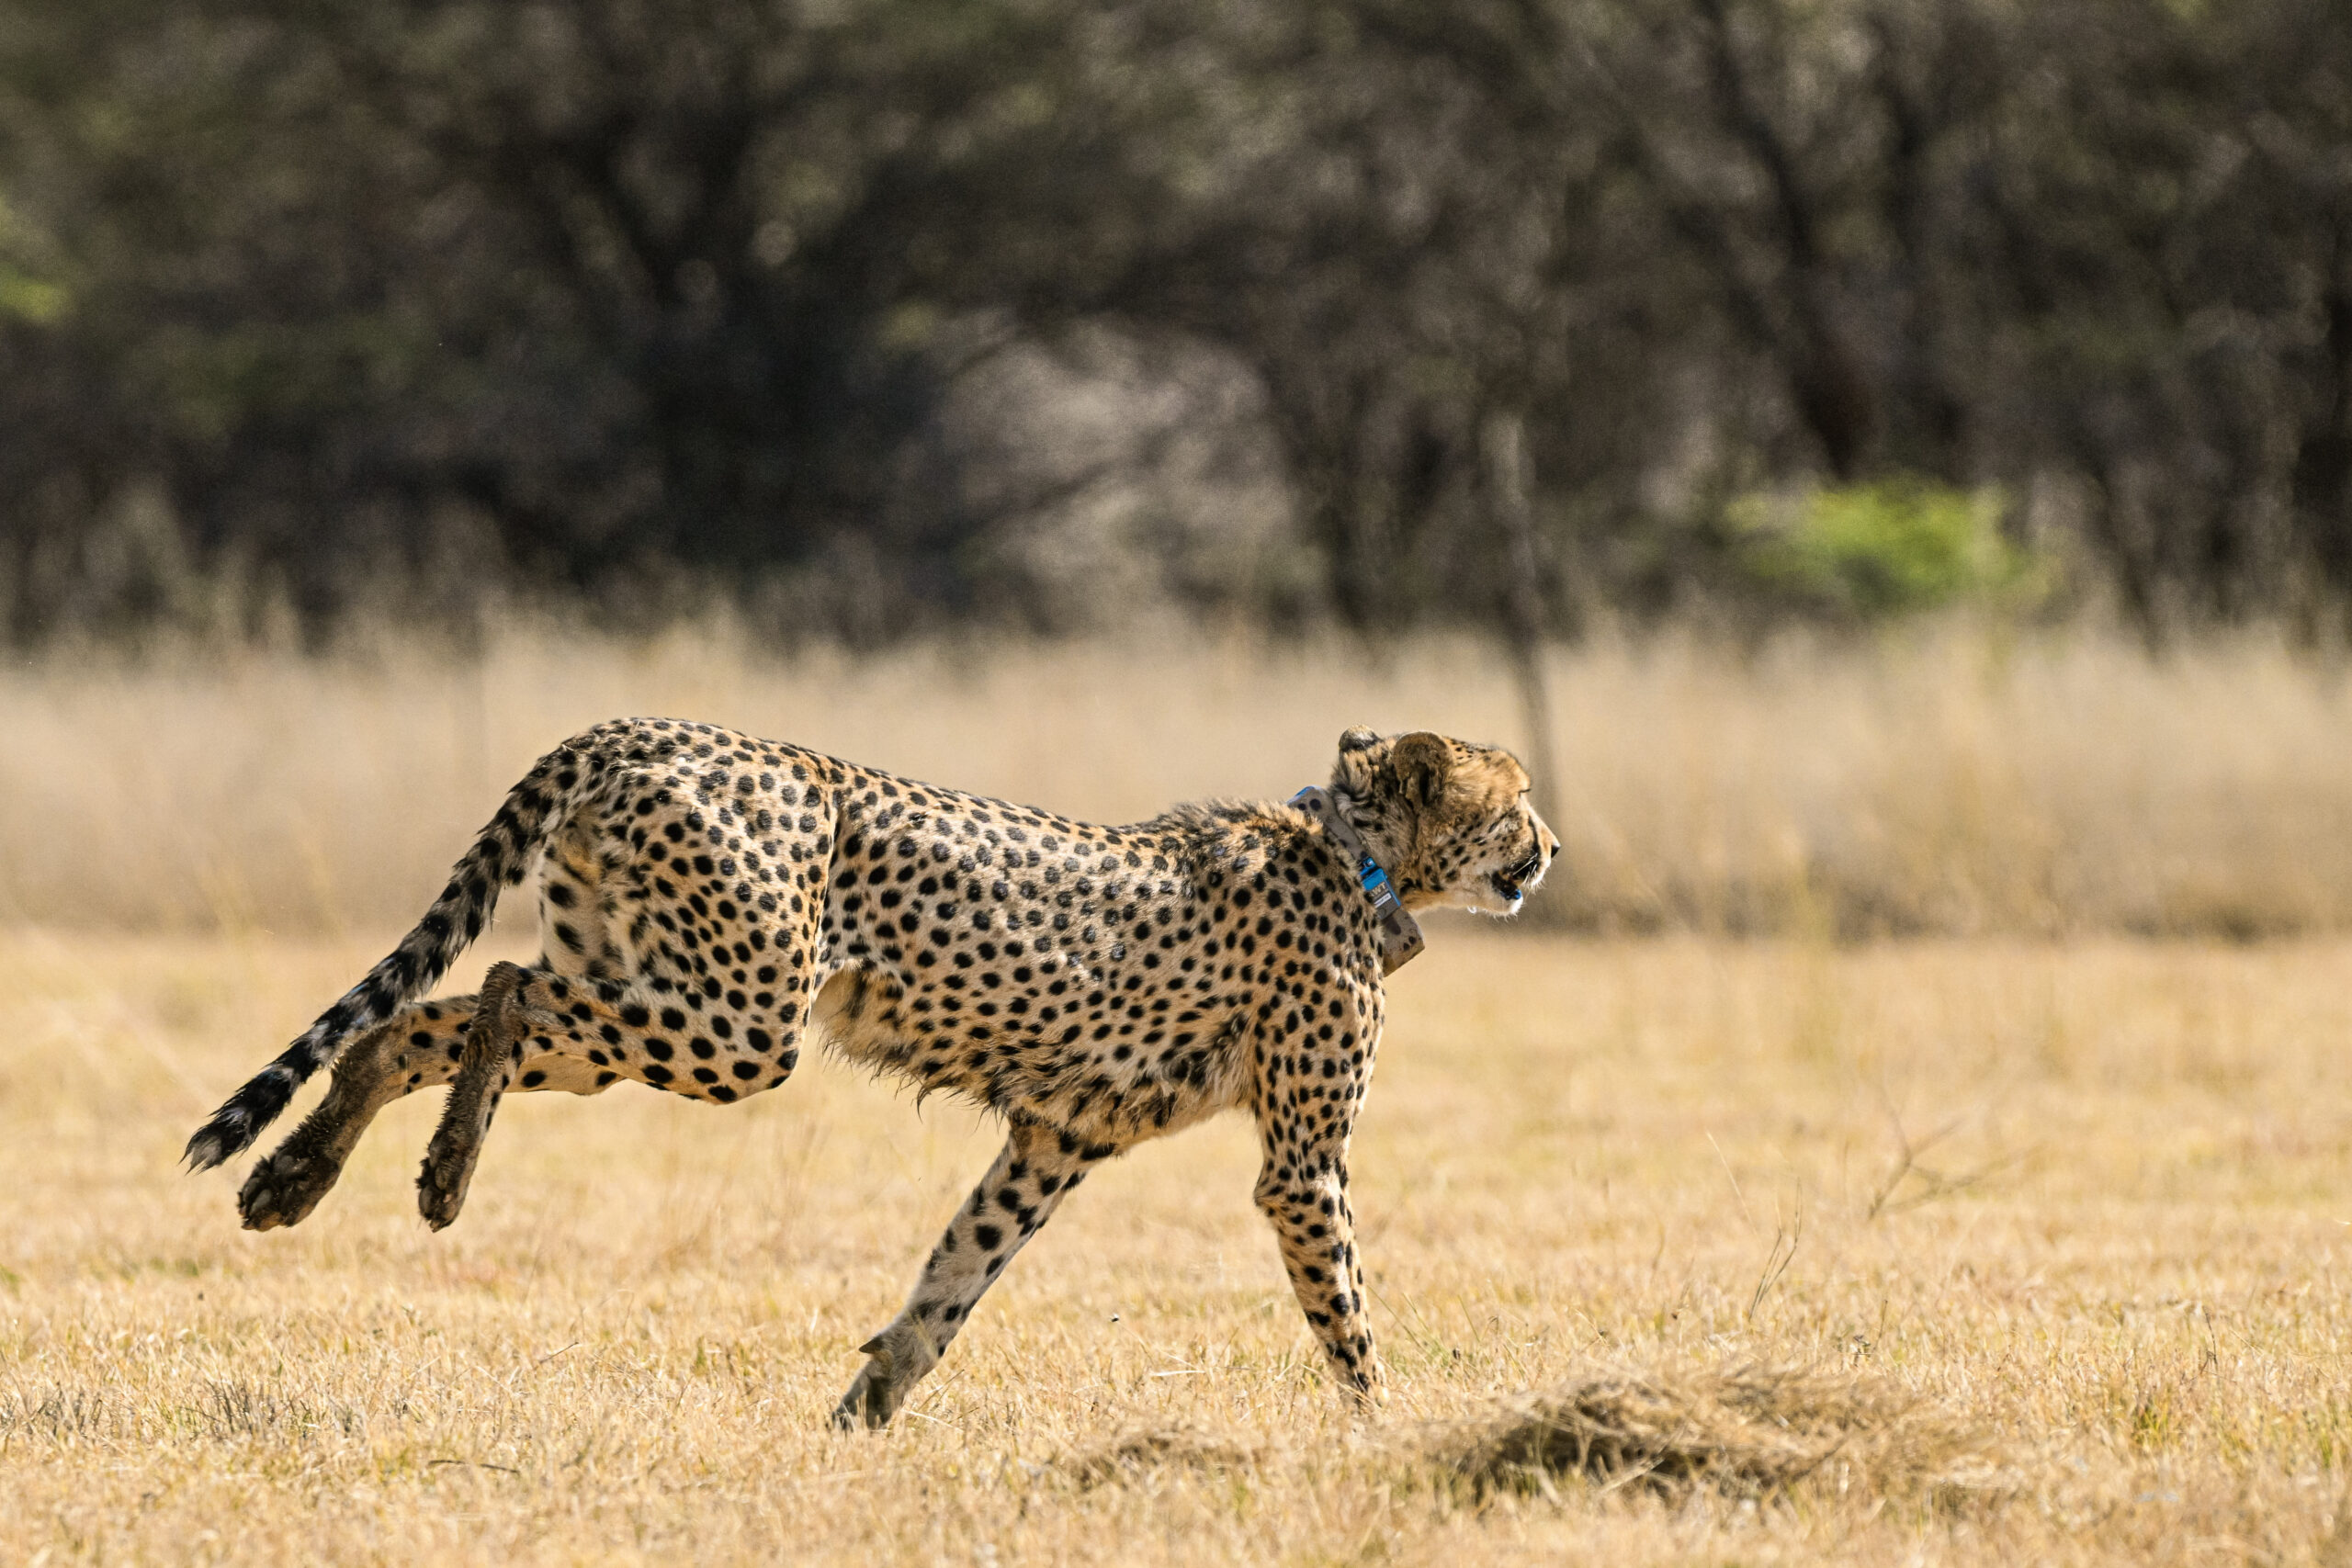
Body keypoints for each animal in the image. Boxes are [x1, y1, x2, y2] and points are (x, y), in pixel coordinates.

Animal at [183, 718, 1557, 1427]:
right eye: (1513, 803)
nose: (1549, 846)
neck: (1352, 852)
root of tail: (642, 723)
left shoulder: (1056, 1137)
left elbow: (952, 1283)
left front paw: (859, 1420)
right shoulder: (1301, 1166)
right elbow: (1347, 1306)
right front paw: (1389, 1429)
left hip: (662, 991)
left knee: (413, 1021)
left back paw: (301, 1179)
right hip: (743, 1025)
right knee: (508, 987)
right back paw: (441, 1173)